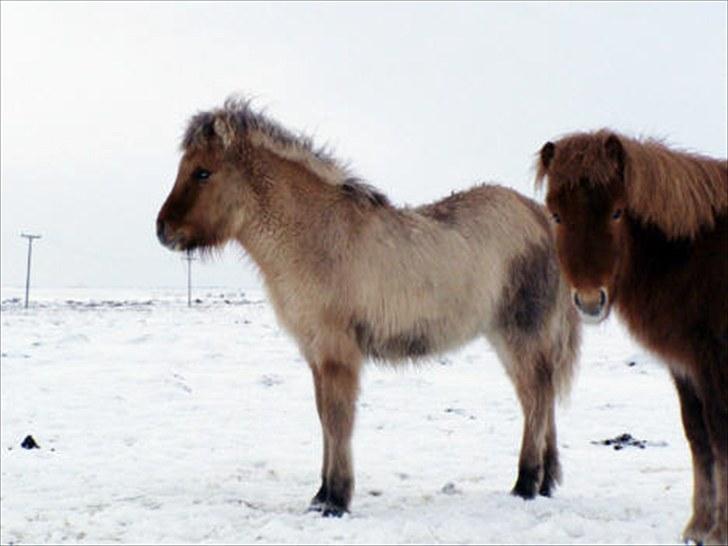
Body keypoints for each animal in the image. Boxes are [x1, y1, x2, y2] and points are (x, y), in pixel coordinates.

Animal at [158, 98, 580, 516]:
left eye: (202, 172)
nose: (163, 230)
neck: (316, 238)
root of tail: (542, 218)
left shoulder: (337, 353)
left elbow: (337, 419)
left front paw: (336, 500)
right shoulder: (316, 354)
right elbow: (324, 418)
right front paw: (321, 495)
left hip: (520, 333)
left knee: (536, 399)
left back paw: (525, 484)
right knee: (540, 398)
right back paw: (545, 482)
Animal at [536, 129, 724, 544]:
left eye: (617, 212)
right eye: (556, 215)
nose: (590, 301)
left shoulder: (714, 364)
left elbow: (720, 436)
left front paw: (720, 530)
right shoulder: (685, 366)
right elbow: (698, 436)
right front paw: (698, 526)